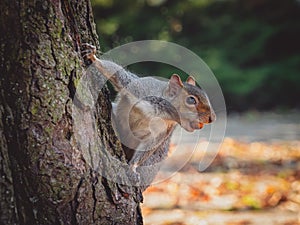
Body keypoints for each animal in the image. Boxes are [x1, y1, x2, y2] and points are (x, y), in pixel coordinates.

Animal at [81, 43, 216, 187]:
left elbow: (148, 148)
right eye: (191, 100)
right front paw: (93, 57)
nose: (212, 118)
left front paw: (132, 168)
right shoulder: (140, 89)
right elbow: (119, 75)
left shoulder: (161, 131)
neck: (161, 112)